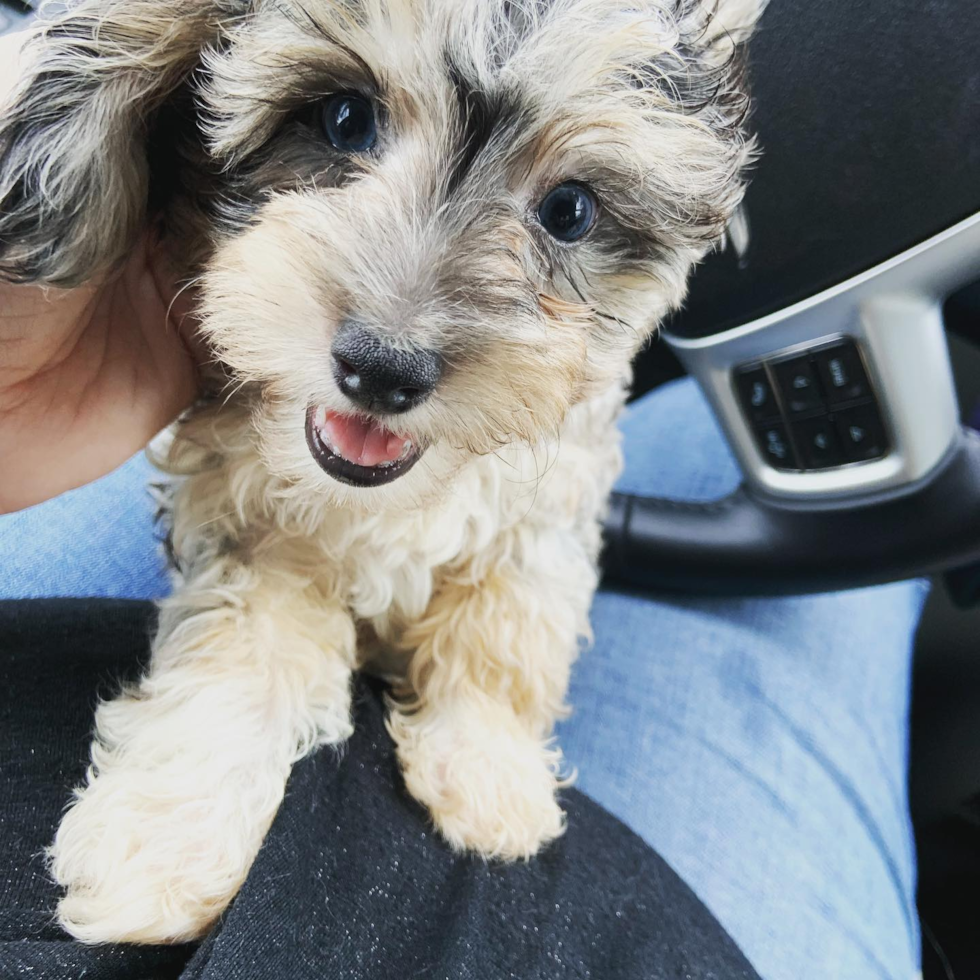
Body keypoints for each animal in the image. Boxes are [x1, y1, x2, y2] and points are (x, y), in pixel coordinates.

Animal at [0, 0, 760, 948]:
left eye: (570, 210)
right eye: (343, 119)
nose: (382, 369)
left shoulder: (551, 499)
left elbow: (507, 626)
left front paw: (489, 770)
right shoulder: (248, 522)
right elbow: (239, 652)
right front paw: (164, 835)